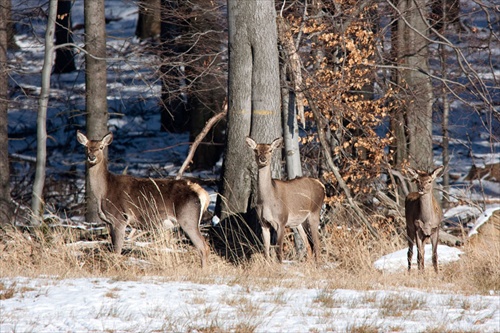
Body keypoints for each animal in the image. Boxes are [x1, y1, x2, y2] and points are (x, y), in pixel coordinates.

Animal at [76, 130, 211, 268]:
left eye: (101, 147)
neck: (103, 192)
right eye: (87, 147)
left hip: (187, 218)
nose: (91, 156)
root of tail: (202, 193)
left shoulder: (120, 218)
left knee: (204, 247)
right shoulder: (109, 222)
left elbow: (117, 250)